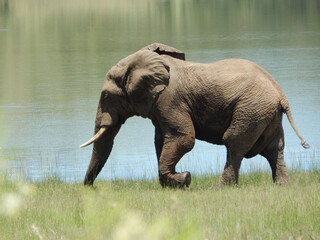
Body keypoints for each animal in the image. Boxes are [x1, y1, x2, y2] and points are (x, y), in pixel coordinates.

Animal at [79, 42, 308, 188]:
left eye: (106, 96)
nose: (88, 187)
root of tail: (281, 94)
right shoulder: (159, 106)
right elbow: (161, 141)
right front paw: (172, 185)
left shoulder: (169, 100)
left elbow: (183, 139)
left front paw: (184, 179)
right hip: (265, 113)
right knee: (274, 147)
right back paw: (282, 186)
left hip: (251, 109)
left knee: (234, 142)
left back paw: (219, 188)